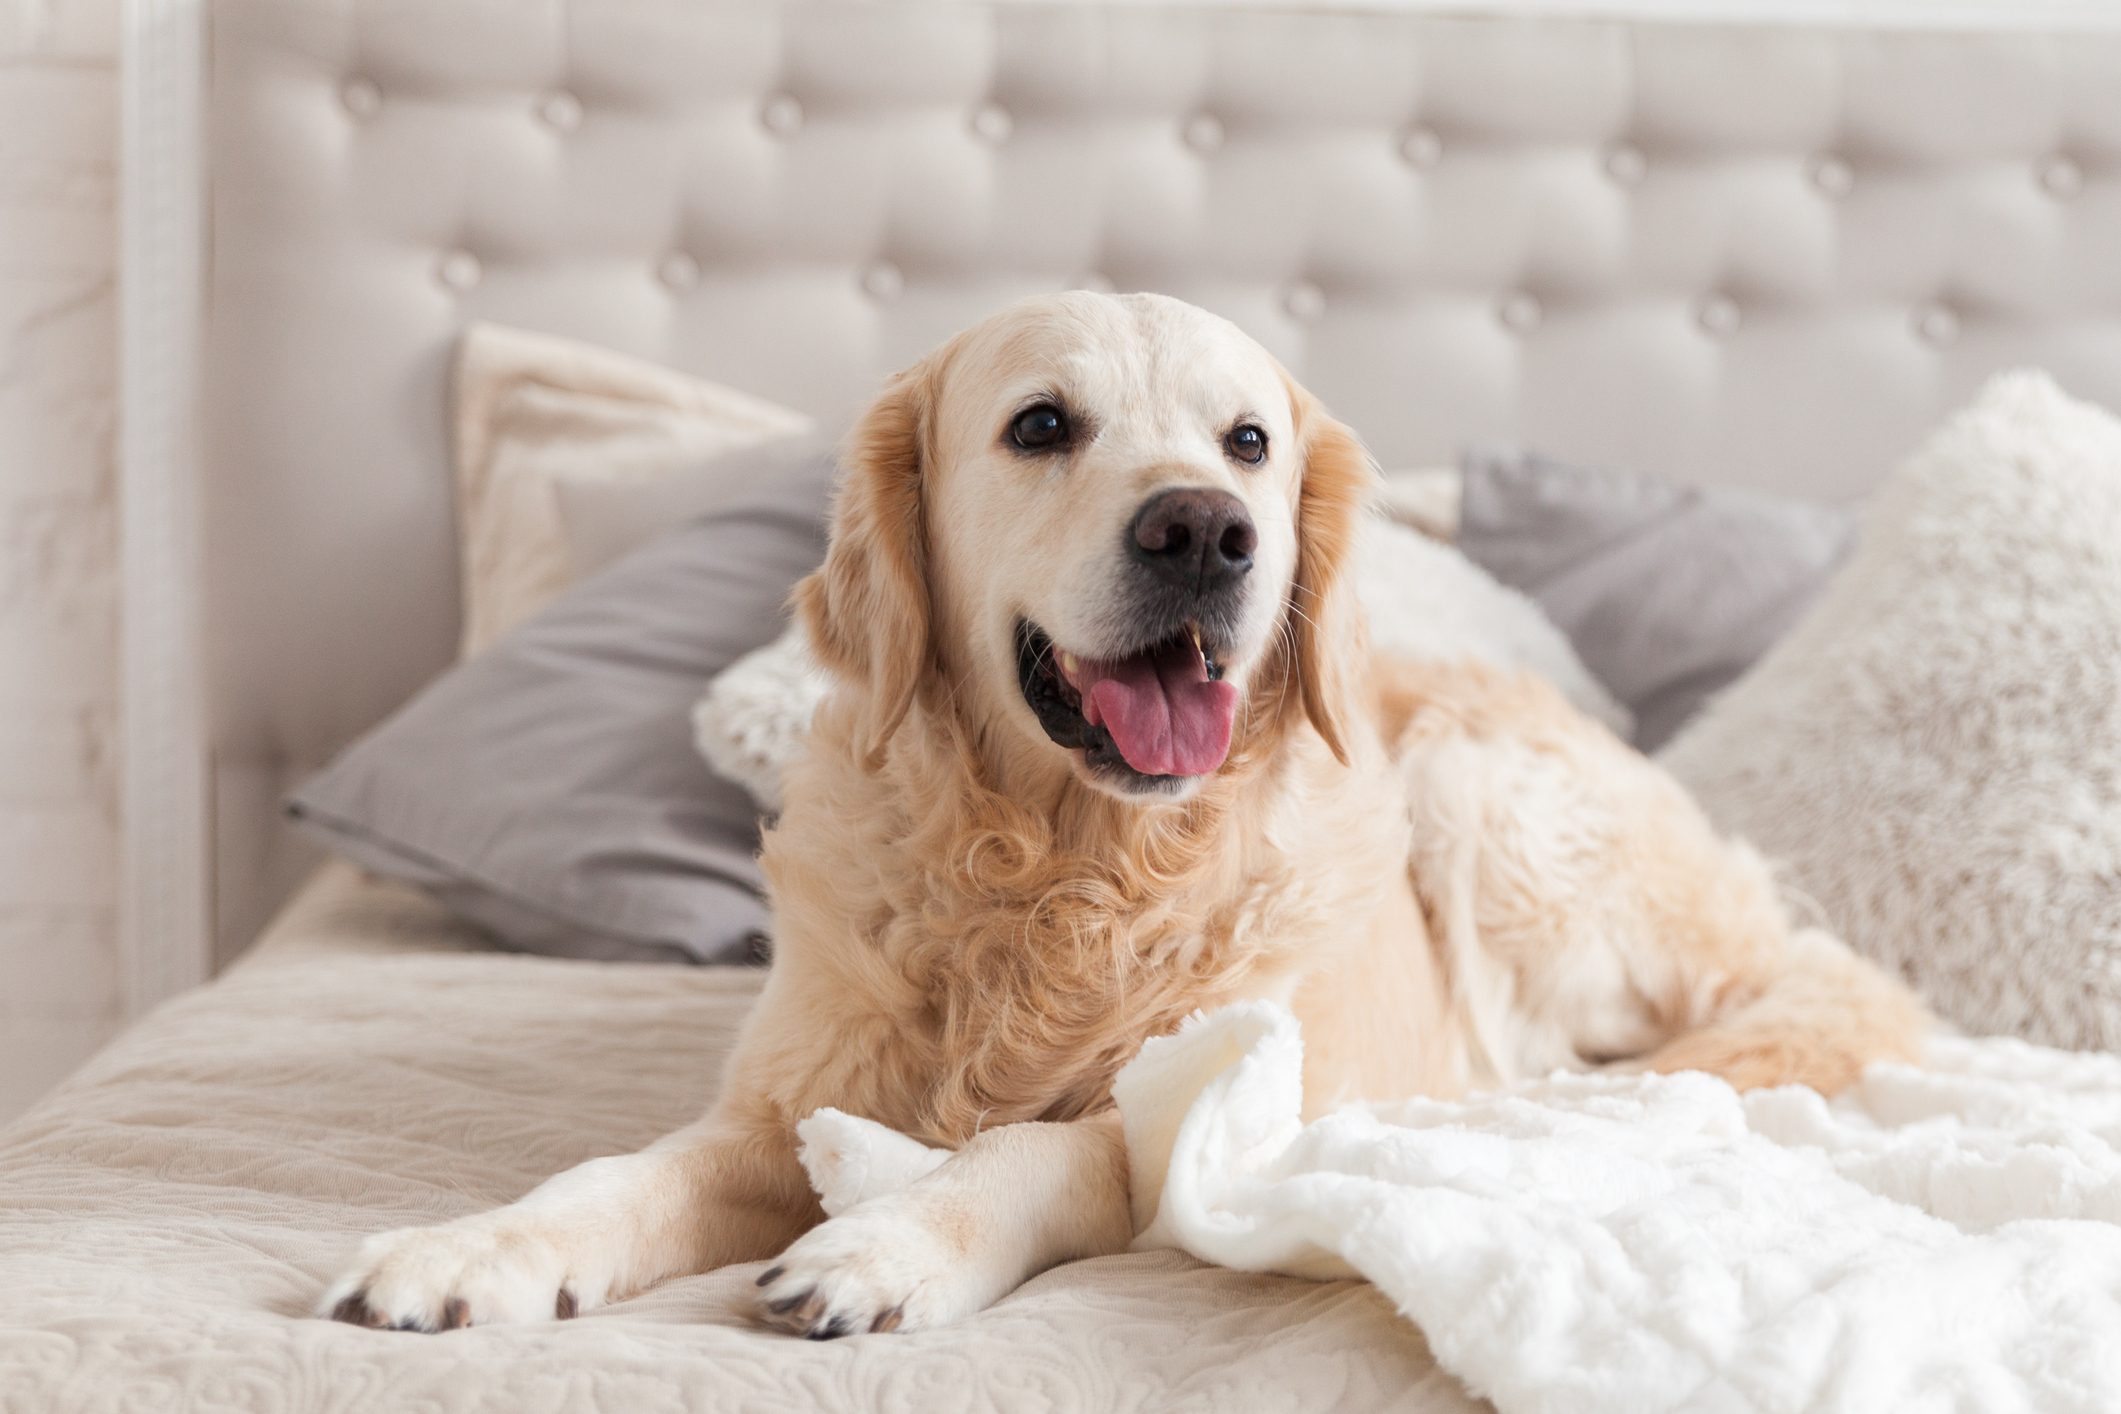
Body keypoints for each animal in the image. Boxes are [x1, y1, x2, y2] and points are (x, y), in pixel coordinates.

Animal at [322, 290, 1934, 1339]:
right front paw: (472, 1248)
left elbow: (1040, 1149)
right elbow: (624, 1173)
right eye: (1041, 425)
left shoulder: (1205, 1110)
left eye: (1247, 443)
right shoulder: (783, 1101)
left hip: (1484, 800)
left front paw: (887, 1241)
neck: (1061, 865)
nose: (1205, 532)